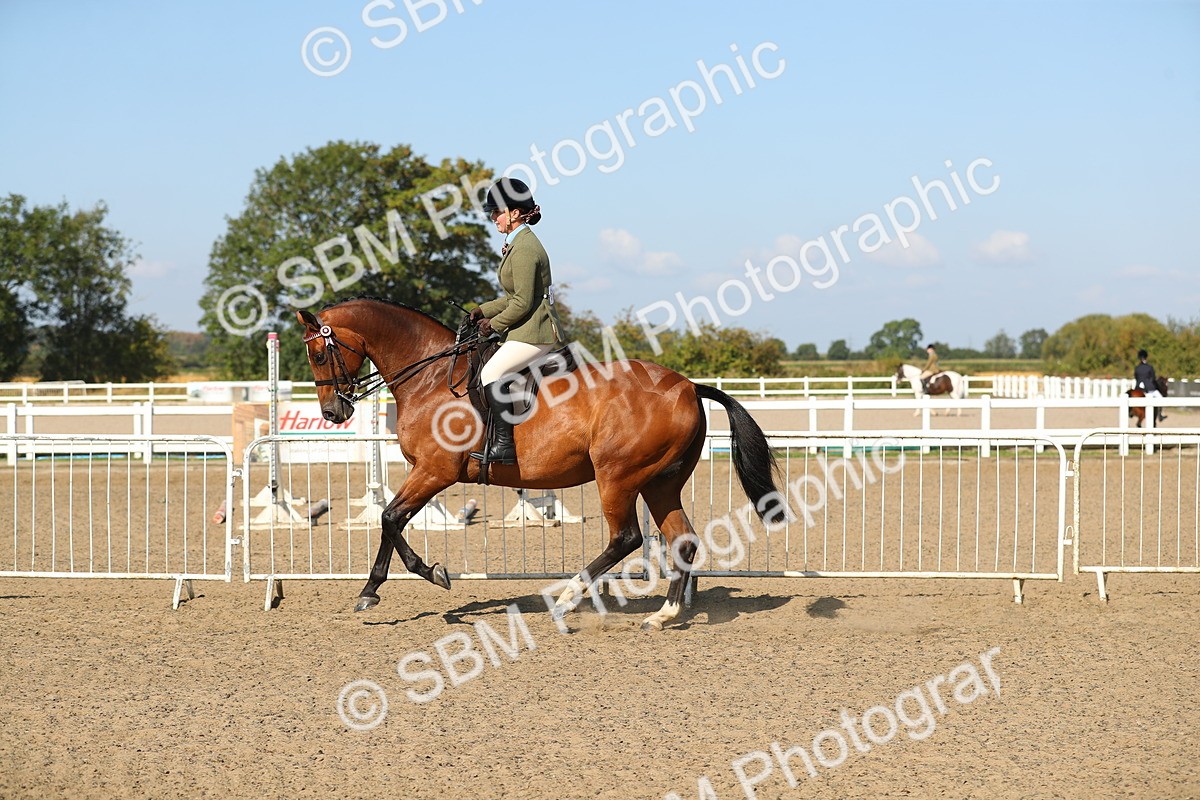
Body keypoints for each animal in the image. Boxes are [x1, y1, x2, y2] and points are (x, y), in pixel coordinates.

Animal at [296, 299, 788, 630]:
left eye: (319, 354)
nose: (332, 413)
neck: (431, 378)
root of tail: (686, 386)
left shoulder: (434, 472)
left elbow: (389, 517)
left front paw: (410, 579)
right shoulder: (429, 474)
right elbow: (391, 520)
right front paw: (388, 586)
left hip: (617, 477)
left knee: (627, 537)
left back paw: (568, 599)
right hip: (659, 483)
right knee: (682, 541)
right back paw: (663, 615)